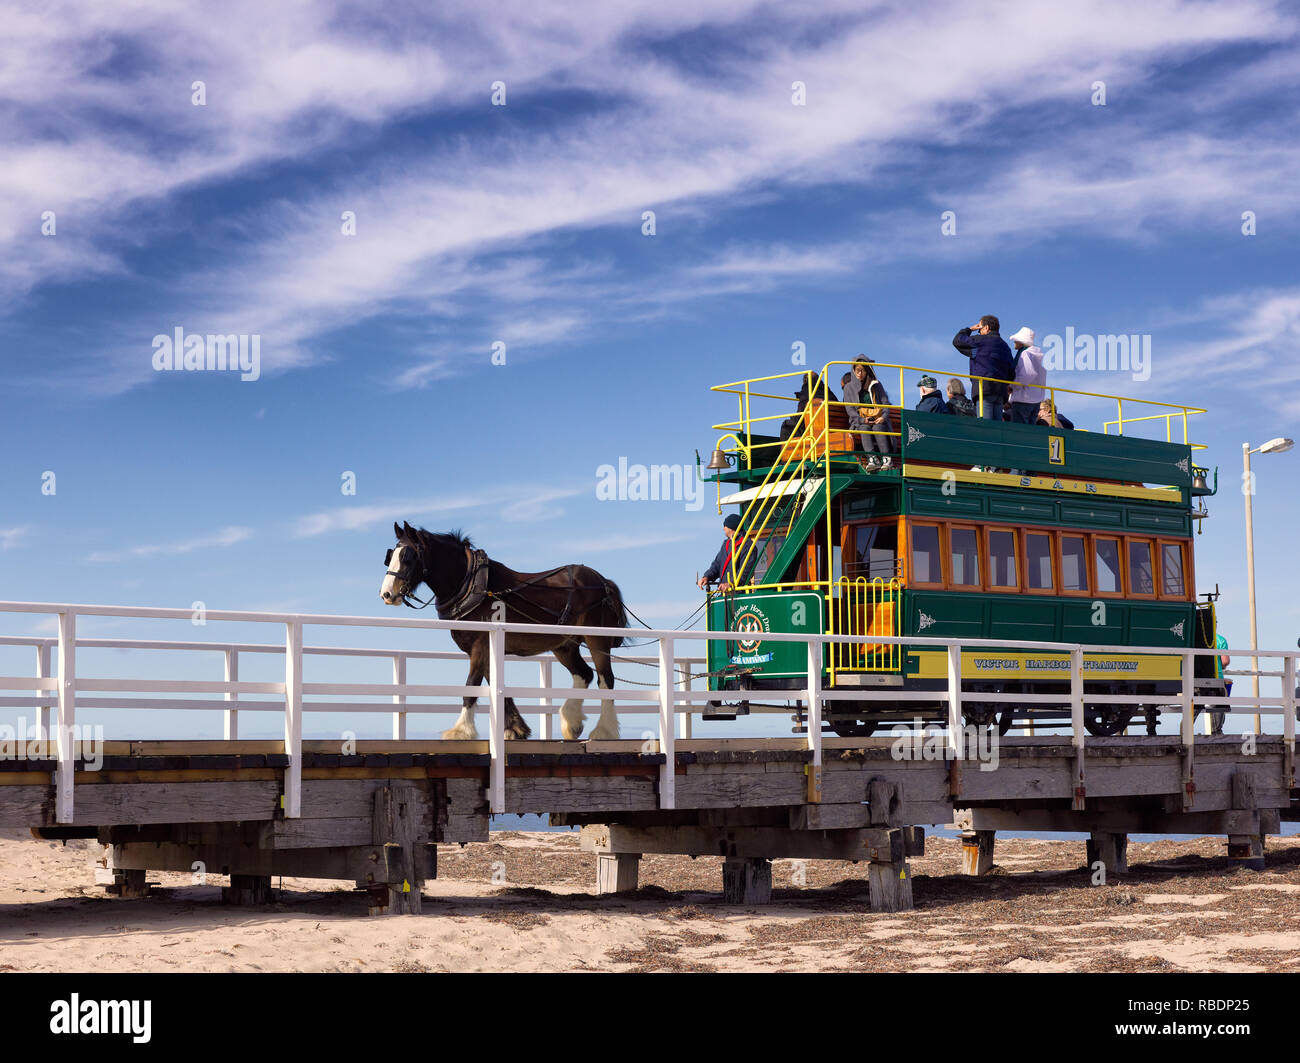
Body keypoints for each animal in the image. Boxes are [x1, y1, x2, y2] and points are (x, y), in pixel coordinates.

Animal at [377, 519, 629, 738]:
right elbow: (495, 683)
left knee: (606, 679)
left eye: (408, 557)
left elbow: (472, 684)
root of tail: (604, 582)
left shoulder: (480, 643)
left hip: (597, 639)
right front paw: (515, 728)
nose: (387, 594)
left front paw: (461, 731)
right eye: (390, 557)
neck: (472, 584)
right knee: (584, 674)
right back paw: (572, 722)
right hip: (564, 644)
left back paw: (604, 731)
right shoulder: (487, 646)